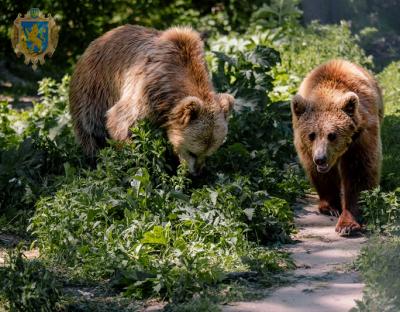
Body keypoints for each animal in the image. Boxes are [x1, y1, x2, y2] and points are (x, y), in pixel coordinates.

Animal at [67, 25, 233, 176]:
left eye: (208, 153)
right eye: (193, 152)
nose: (197, 172)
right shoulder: (146, 89)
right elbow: (122, 122)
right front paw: (137, 162)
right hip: (94, 90)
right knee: (90, 129)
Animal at [290, 58, 384, 235]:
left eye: (332, 135)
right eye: (311, 135)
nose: (320, 159)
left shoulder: (361, 137)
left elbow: (358, 173)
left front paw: (347, 224)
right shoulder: (306, 148)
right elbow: (320, 175)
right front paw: (331, 206)